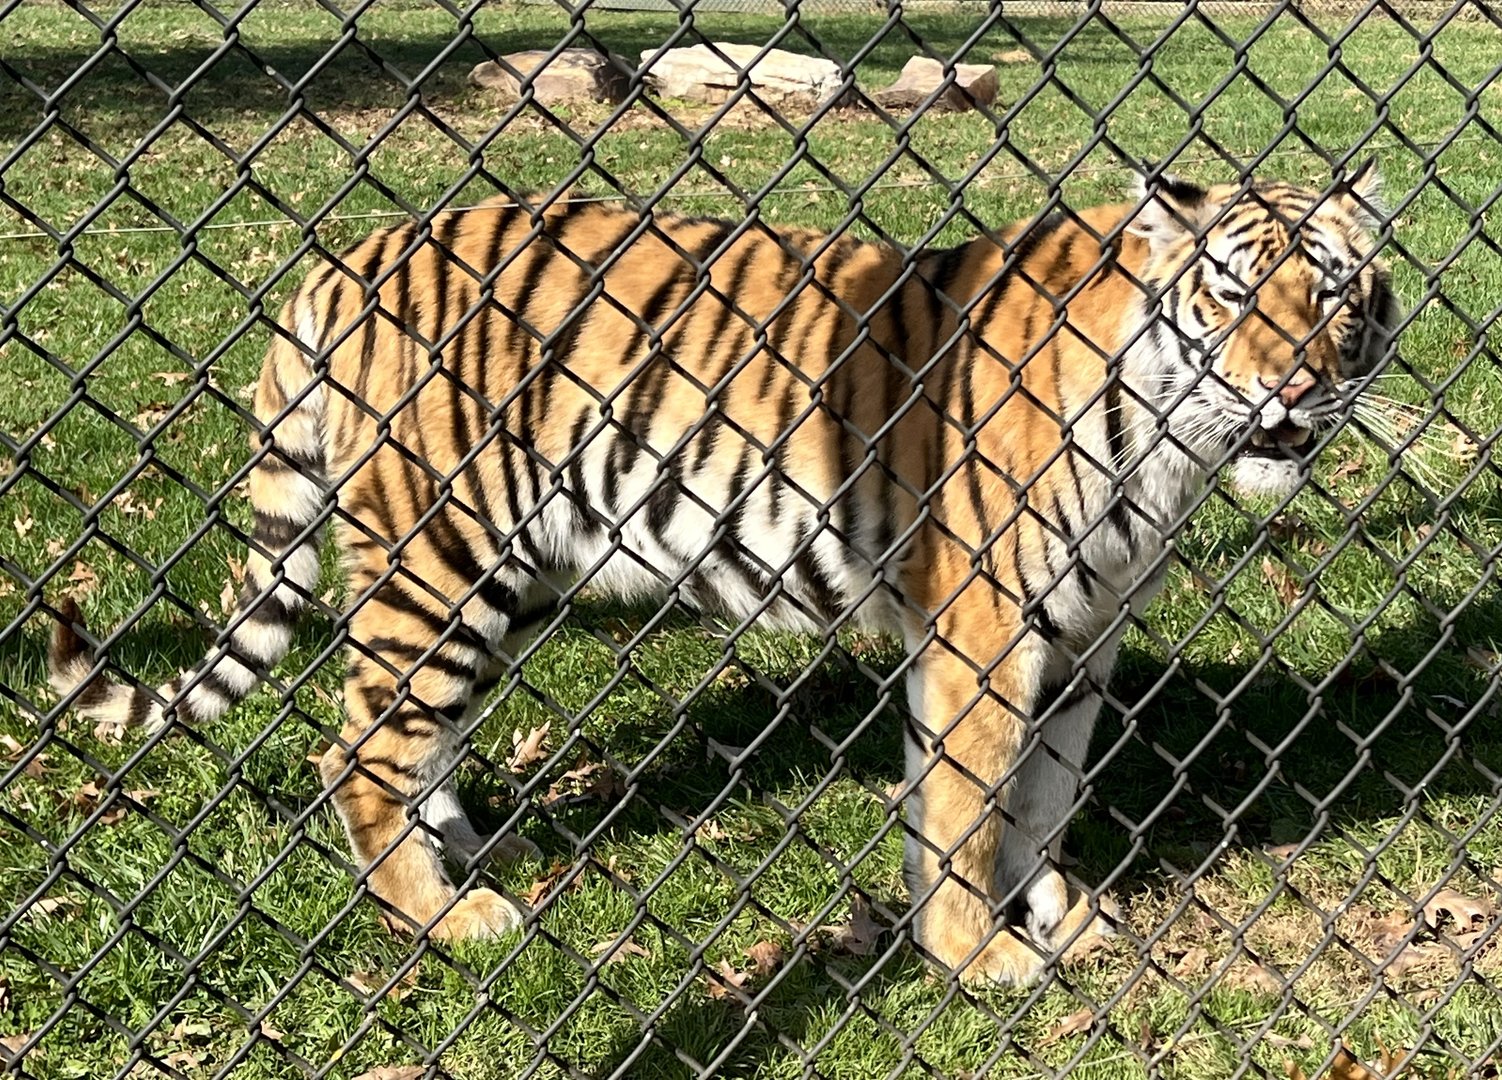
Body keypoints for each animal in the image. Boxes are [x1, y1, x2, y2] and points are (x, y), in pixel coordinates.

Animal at [50, 162, 1398, 986]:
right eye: (1230, 297)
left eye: (1335, 299)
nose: (1292, 388)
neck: (1168, 448)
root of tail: (346, 257)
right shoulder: (984, 629)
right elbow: (967, 804)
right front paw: (974, 953)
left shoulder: (1084, 631)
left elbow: (1041, 793)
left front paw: (1048, 908)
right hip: (441, 556)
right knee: (354, 749)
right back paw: (449, 917)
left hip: (512, 573)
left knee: (413, 737)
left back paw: (468, 852)